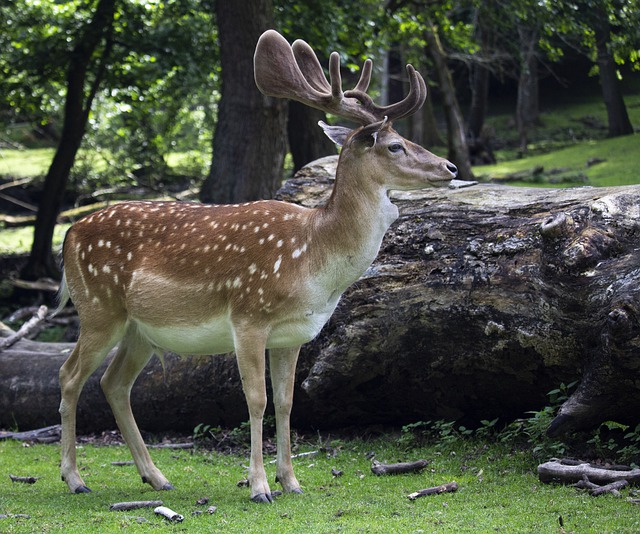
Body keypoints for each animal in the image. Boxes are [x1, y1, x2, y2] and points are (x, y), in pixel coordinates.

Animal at [53, 30, 456, 506]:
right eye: (395, 145)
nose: (449, 166)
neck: (313, 259)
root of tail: (69, 233)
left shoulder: (294, 333)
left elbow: (286, 402)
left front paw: (292, 482)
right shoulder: (248, 316)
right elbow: (255, 399)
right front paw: (260, 486)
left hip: (141, 330)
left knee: (113, 384)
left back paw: (156, 477)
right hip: (99, 308)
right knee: (69, 375)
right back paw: (75, 478)